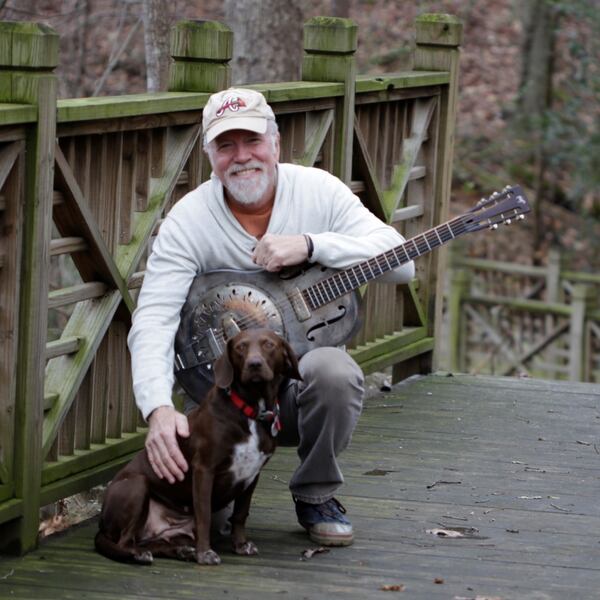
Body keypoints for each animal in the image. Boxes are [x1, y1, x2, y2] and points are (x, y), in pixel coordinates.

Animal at [96, 330, 302, 564]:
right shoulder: (204, 469)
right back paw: (141, 555)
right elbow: (204, 516)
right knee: (125, 541)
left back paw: (182, 551)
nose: (254, 364)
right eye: (240, 347)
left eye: (269, 345)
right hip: (137, 485)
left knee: (153, 542)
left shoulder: (252, 475)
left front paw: (240, 545)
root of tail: (101, 523)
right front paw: (205, 553)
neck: (250, 410)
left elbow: (240, 514)